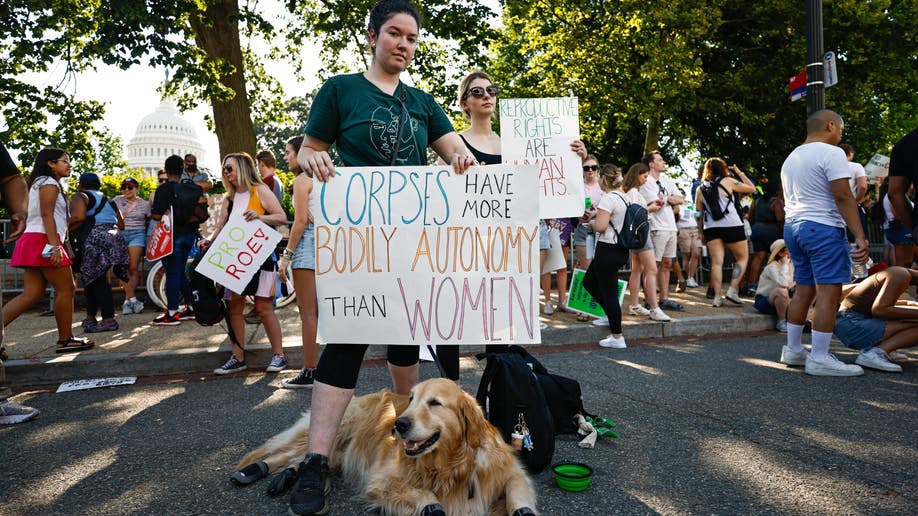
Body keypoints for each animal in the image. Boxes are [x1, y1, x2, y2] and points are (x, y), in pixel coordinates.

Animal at [234, 376, 540, 512]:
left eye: (434, 403)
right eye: (411, 399)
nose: (398, 424)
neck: (452, 465)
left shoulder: (513, 474)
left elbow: (516, 495)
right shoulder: (381, 482)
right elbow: (424, 496)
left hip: (338, 451)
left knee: (298, 459)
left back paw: (282, 477)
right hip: (340, 426)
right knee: (291, 452)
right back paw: (253, 470)